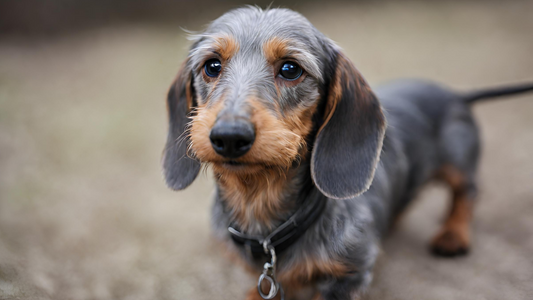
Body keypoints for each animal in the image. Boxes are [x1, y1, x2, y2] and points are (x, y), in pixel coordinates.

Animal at [162, 7, 532, 300]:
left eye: (290, 69)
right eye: (212, 65)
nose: (229, 136)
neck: (264, 224)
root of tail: (455, 94)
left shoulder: (348, 275)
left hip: (457, 161)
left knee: (467, 191)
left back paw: (453, 234)